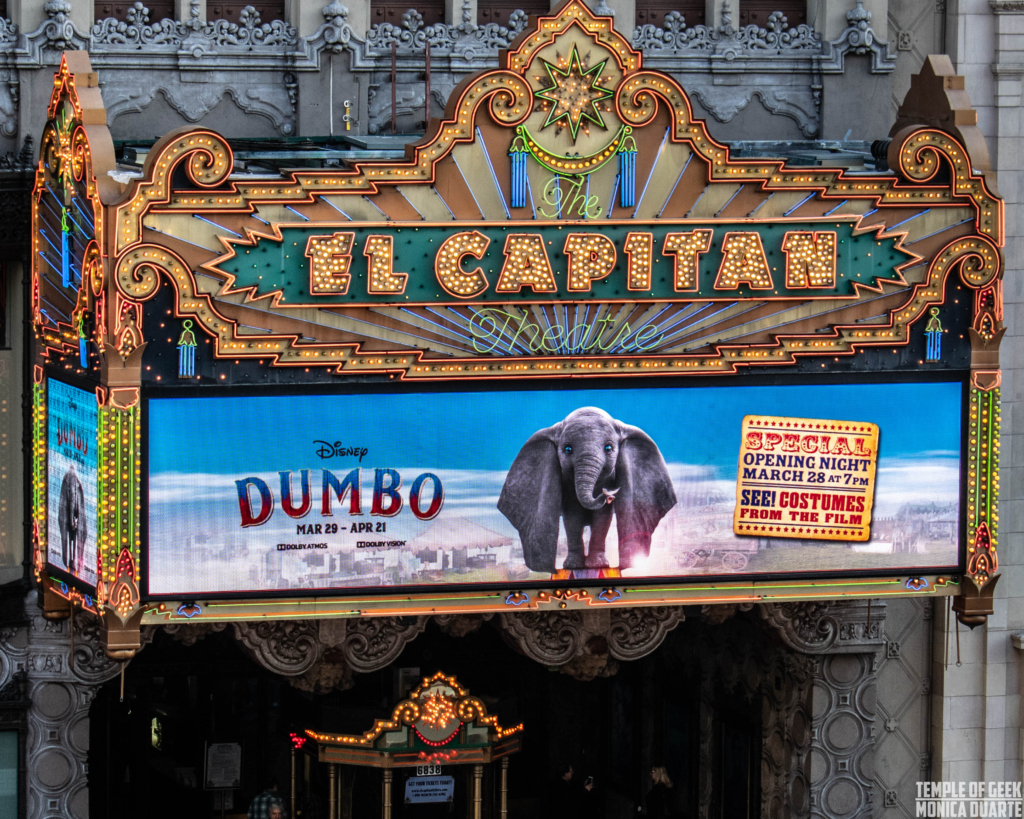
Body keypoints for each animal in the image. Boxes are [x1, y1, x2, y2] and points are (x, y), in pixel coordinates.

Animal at [497, 405, 675, 573]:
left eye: (608, 448)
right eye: (567, 450)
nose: (609, 494)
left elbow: (602, 518)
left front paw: (599, 565)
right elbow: (573, 518)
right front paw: (573, 567)